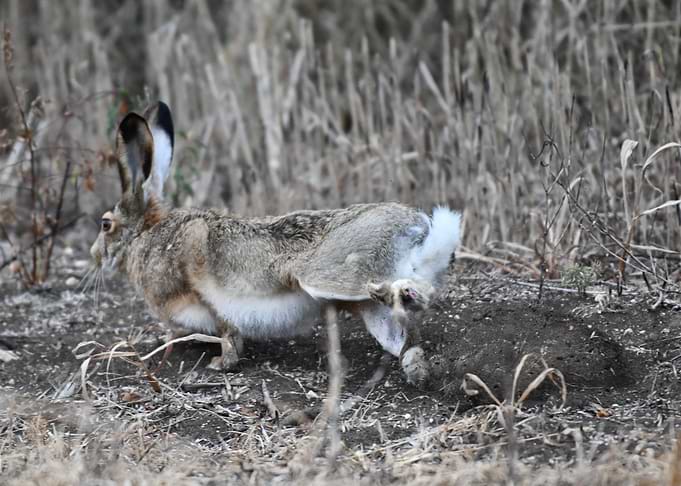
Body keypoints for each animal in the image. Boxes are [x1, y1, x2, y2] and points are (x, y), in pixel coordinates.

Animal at [90, 101, 462, 386]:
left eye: (106, 224)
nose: (94, 255)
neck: (146, 234)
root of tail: (418, 227)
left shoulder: (205, 293)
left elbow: (227, 333)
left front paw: (220, 365)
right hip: (367, 306)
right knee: (404, 341)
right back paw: (416, 369)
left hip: (328, 274)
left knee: (420, 292)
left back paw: (405, 296)